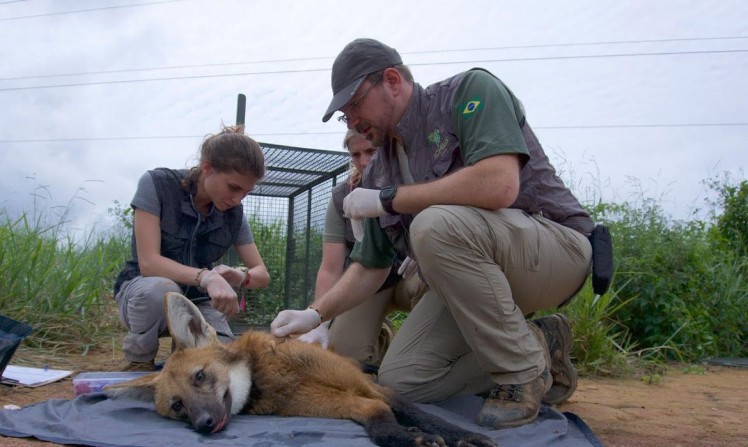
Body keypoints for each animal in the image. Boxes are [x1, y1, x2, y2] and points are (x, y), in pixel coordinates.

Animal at [106, 292, 498, 447]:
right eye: (178, 406)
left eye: (200, 376)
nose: (203, 424)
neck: (270, 374)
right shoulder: (332, 403)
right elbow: (378, 417)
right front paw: (408, 437)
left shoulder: (370, 386)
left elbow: (419, 413)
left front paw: (464, 435)